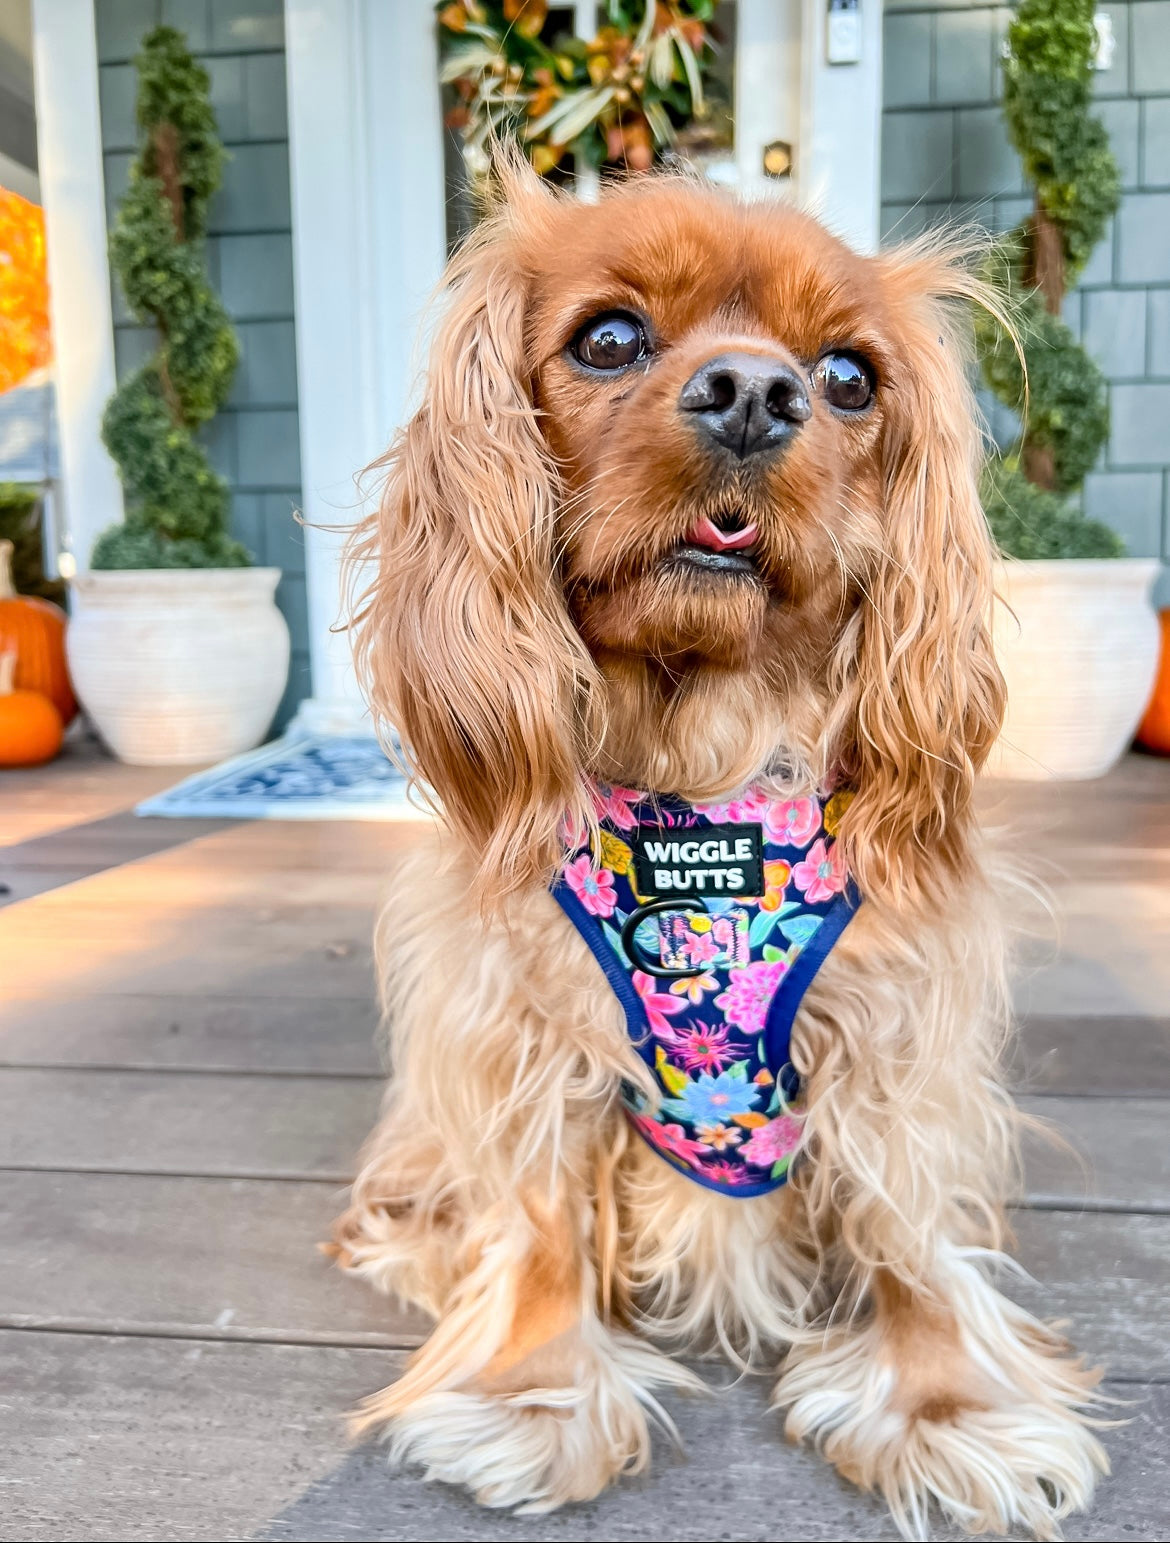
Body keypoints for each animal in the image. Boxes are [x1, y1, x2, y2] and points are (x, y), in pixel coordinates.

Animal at [334, 162, 1111, 1536]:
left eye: (849, 375)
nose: (755, 391)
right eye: (609, 339)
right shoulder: (527, 1022)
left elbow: (908, 1227)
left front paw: (947, 1403)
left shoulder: (895, 1038)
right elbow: (540, 1217)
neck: (699, 776)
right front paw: (532, 1391)